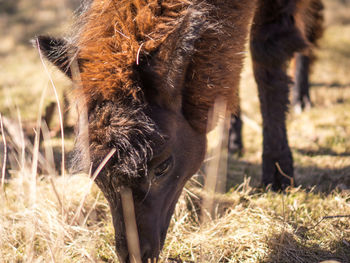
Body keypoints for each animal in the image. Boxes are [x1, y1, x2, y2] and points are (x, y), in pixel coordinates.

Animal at [37, 0, 324, 262]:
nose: (136, 254)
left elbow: (266, 56)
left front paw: (278, 172)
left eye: (163, 166)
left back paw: (301, 98)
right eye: (96, 173)